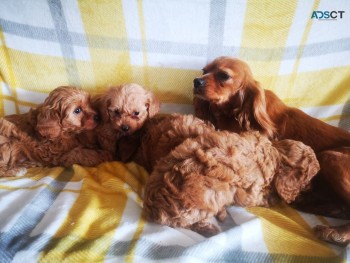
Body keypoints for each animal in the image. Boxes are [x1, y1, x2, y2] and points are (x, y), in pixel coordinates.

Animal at [143, 126, 320, 237]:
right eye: (310, 178)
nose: (312, 188)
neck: (276, 153)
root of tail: (153, 207)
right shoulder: (251, 191)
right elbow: (259, 197)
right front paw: (271, 198)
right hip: (208, 198)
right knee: (189, 223)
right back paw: (211, 227)